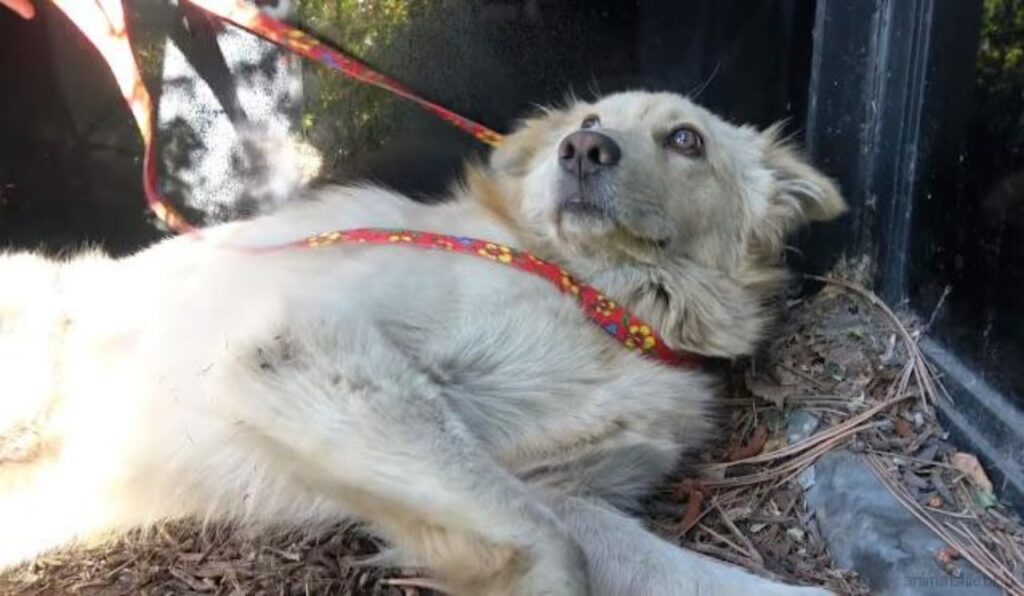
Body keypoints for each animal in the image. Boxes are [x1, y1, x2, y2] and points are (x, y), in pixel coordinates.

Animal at [0, 91, 843, 593]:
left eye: (686, 140)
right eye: (590, 121)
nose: (583, 150)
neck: (608, 307)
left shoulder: (564, 490)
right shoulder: (302, 339)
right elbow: (550, 550)